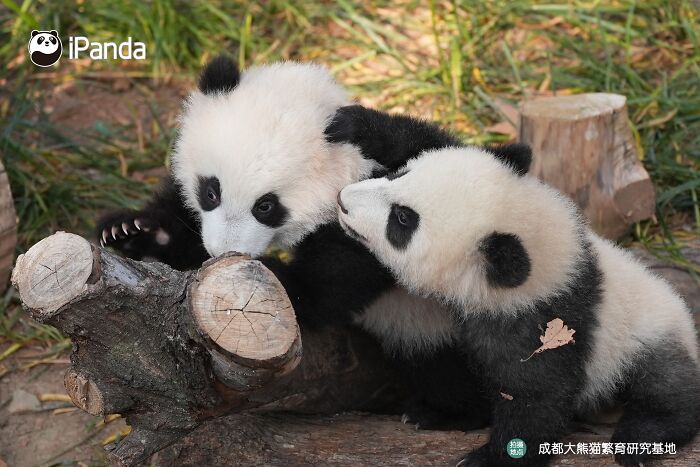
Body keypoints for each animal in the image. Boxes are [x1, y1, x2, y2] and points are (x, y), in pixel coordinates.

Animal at [97, 55, 493, 430]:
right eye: (211, 191)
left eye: (266, 206)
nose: (223, 251)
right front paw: (132, 231)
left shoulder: (373, 224)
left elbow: (327, 291)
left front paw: (273, 275)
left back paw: (441, 414)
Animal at [337, 145, 700, 466]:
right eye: (401, 173)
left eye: (402, 219)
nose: (342, 199)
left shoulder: (546, 323)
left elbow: (536, 398)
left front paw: (488, 459)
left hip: (645, 337)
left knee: (665, 388)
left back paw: (640, 437)